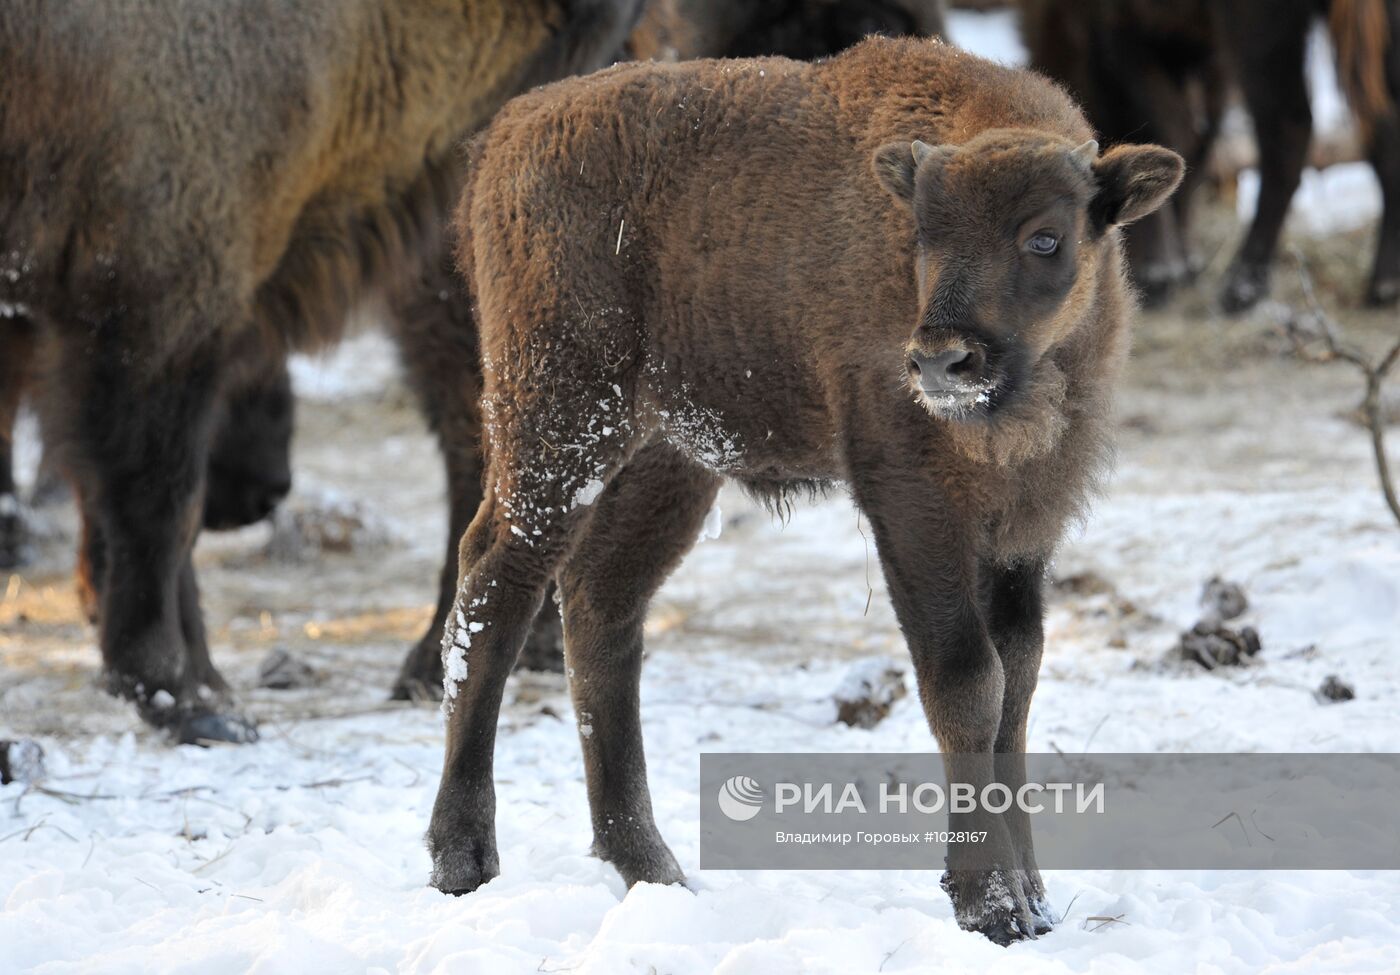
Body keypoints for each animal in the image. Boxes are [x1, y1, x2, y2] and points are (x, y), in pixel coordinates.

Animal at [428, 34, 1181, 941]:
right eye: (922, 233)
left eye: (1046, 236)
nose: (941, 360)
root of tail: (504, 136)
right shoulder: (911, 503)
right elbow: (969, 681)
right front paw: (989, 907)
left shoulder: (1024, 528)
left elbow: (1020, 677)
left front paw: (1033, 902)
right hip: (559, 424)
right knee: (494, 591)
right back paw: (463, 860)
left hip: (667, 460)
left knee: (601, 603)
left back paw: (651, 869)